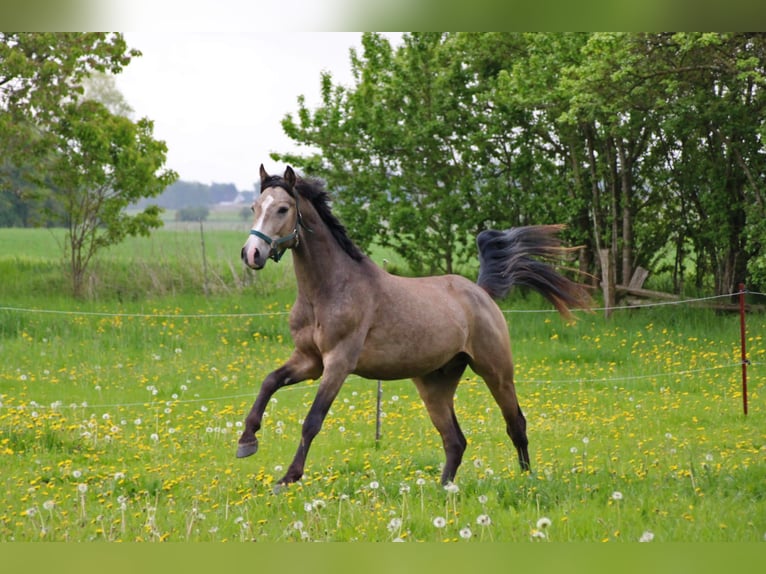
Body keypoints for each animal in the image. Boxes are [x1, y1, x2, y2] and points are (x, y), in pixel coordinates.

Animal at [238, 165, 591, 486]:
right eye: (255, 207)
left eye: (283, 208)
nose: (252, 253)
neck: (329, 290)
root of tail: (481, 292)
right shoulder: (309, 360)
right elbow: (269, 382)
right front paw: (247, 441)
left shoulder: (338, 363)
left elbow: (312, 420)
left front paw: (288, 477)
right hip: (434, 383)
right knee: (455, 440)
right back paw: (444, 488)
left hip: (496, 371)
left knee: (515, 423)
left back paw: (527, 479)